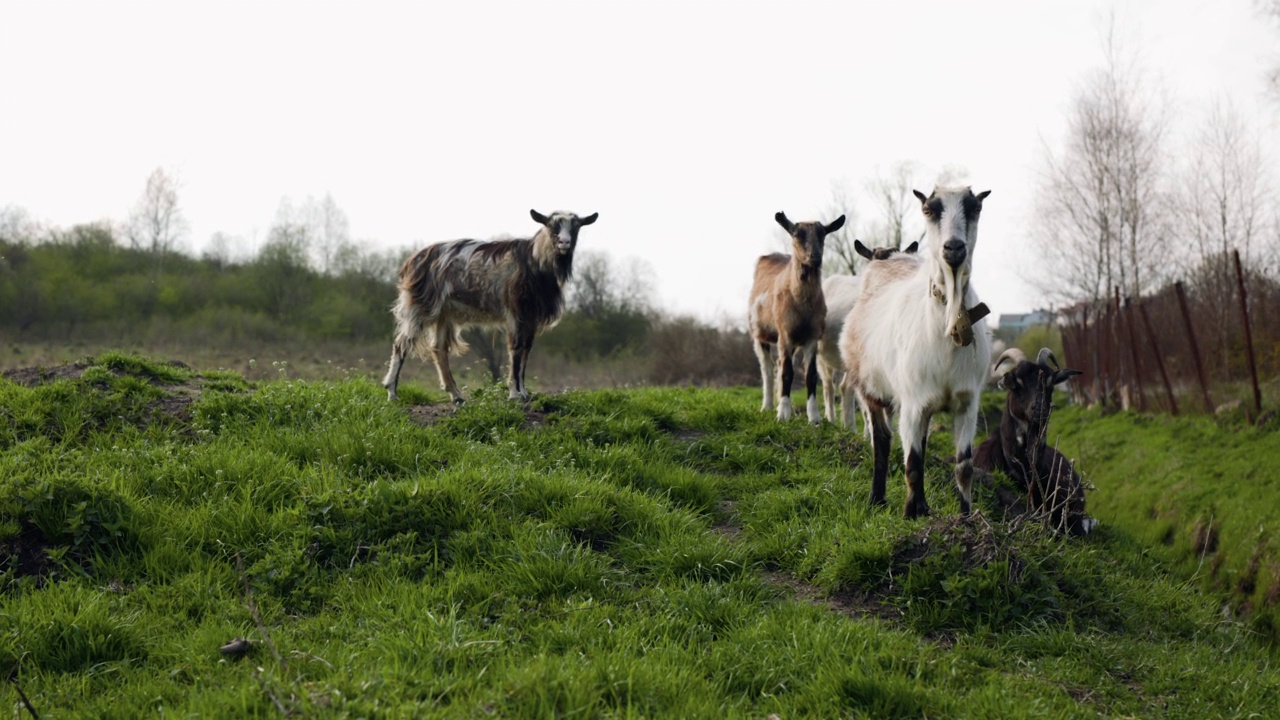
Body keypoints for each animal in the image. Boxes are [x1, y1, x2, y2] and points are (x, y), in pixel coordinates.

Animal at [381, 207, 596, 399]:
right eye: (552, 226)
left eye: (576, 227)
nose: (565, 243)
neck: (533, 262)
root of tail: (412, 261)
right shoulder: (515, 312)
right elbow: (516, 348)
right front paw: (514, 394)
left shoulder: (531, 316)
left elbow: (527, 349)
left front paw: (525, 392)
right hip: (420, 306)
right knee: (401, 344)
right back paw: (392, 392)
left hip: (443, 313)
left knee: (439, 349)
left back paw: (456, 396)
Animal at [747, 210, 844, 420]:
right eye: (797, 234)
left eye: (823, 234)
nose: (815, 257)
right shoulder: (785, 333)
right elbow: (787, 373)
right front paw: (782, 414)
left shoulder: (812, 336)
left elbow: (810, 375)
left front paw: (814, 417)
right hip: (759, 332)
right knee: (767, 369)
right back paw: (767, 406)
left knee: (777, 364)